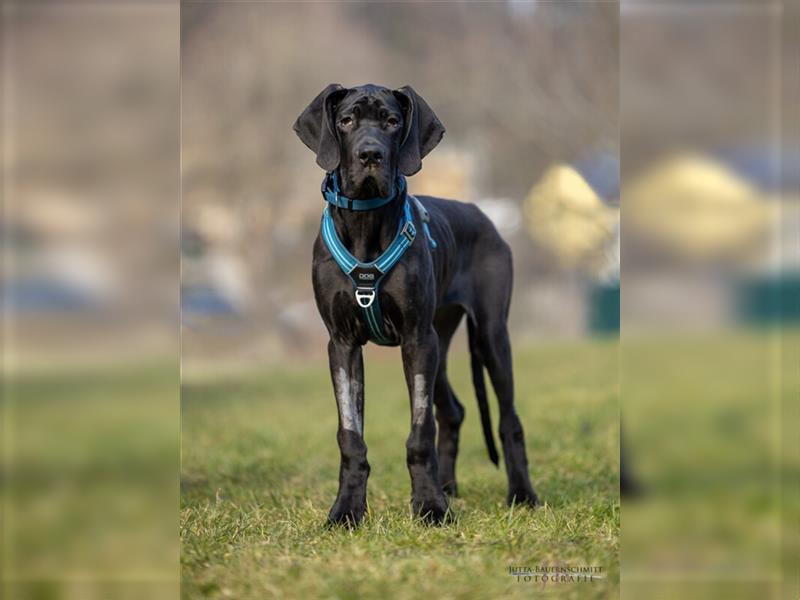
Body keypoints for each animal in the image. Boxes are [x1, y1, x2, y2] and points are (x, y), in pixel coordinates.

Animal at [294, 83, 536, 524]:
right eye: (346, 120)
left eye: (392, 121)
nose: (370, 154)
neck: (366, 224)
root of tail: (483, 215)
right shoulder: (342, 343)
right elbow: (350, 435)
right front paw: (347, 510)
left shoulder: (416, 338)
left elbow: (420, 431)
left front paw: (430, 507)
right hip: (439, 339)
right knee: (453, 410)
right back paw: (449, 486)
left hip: (487, 336)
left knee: (508, 419)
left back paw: (522, 494)